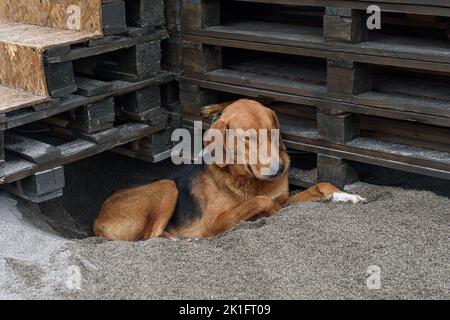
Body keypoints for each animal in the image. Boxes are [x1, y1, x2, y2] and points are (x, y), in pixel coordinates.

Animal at [95, 99, 366, 240]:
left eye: (272, 132)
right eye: (248, 138)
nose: (279, 169)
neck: (247, 179)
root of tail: (98, 218)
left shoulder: (285, 195)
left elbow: (321, 184)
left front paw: (346, 195)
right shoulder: (215, 223)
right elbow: (261, 201)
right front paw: (270, 211)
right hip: (166, 185)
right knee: (151, 236)